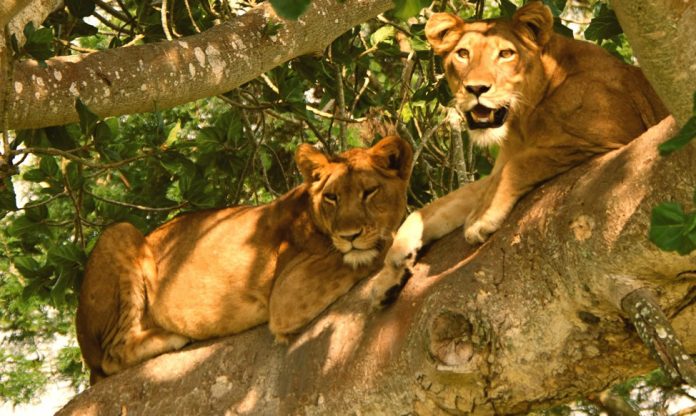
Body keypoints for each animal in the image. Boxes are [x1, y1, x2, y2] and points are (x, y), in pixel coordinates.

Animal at [76, 136, 414, 384]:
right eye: (332, 197)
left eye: (369, 192)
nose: (350, 235)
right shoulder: (288, 294)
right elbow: (378, 249)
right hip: (120, 232)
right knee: (111, 355)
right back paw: (172, 336)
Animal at [370, 0, 668, 306]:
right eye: (463, 54)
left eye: (506, 54)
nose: (476, 89)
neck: (523, 119)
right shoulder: (497, 168)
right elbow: (437, 207)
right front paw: (391, 265)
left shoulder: (610, 137)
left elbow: (521, 164)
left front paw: (481, 218)